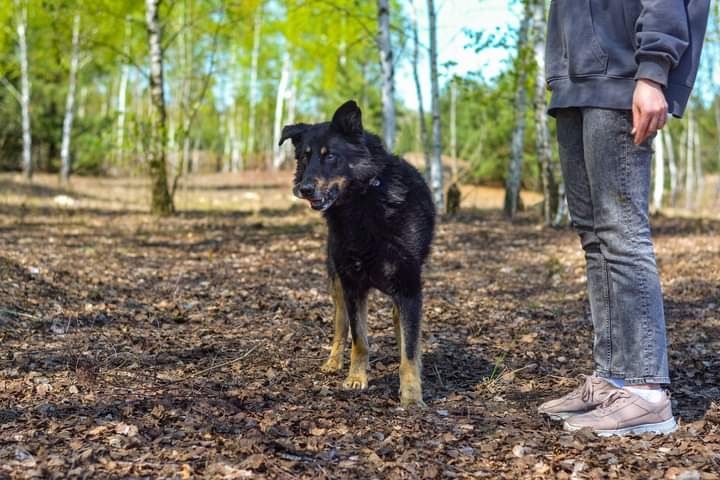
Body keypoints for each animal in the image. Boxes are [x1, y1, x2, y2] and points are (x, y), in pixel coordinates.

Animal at [280, 99, 436, 406]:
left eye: (330, 156)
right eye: (304, 157)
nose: (304, 188)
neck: (362, 203)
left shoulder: (409, 288)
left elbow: (410, 348)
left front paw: (412, 395)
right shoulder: (352, 285)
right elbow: (359, 339)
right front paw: (356, 378)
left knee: (400, 325)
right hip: (337, 284)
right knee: (341, 325)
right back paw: (333, 361)